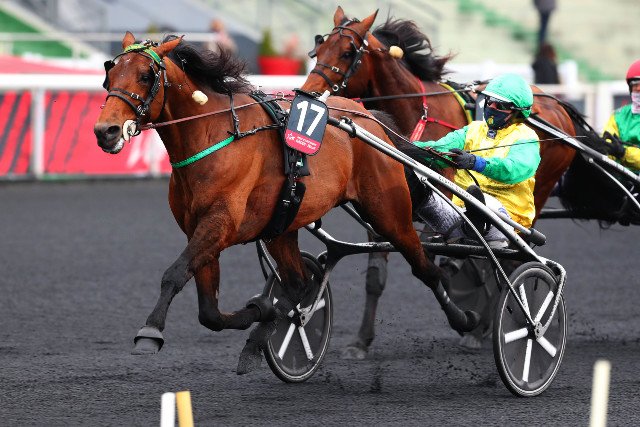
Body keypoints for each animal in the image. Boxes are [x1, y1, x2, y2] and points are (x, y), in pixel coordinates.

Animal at [93, 32, 480, 366]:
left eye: (146, 75)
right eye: (109, 74)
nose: (105, 131)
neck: (212, 136)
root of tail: (369, 119)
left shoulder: (219, 223)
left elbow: (175, 274)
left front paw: (150, 332)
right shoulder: (200, 230)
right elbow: (210, 312)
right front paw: (262, 312)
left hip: (388, 212)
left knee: (425, 267)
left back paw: (466, 320)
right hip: (282, 227)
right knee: (299, 283)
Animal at [302, 6, 602, 358]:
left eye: (348, 53)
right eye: (319, 48)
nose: (308, 91)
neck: (413, 111)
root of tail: (559, 106)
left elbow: (452, 257)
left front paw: (467, 314)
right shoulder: (382, 196)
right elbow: (379, 273)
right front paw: (360, 342)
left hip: (537, 193)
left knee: (507, 255)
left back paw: (488, 325)